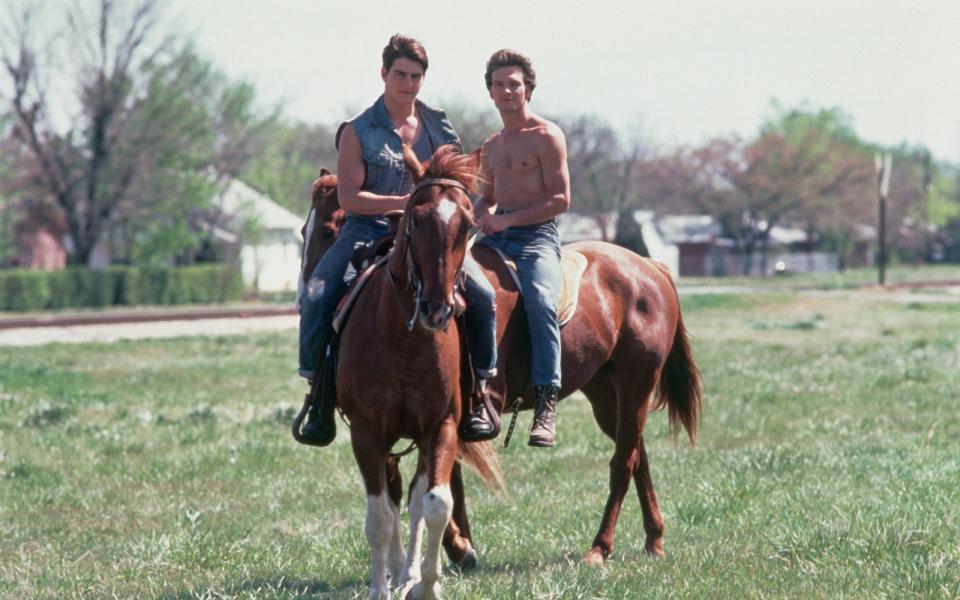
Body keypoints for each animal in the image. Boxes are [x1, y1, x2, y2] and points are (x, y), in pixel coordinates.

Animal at [302, 149, 704, 584]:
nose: (306, 289)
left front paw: (456, 548)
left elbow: (433, 483)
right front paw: (455, 549)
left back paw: (601, 547)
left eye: (327, 229)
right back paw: (654, 539)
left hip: (637, 382)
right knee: (636, 452)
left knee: (623, 460)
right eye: (304, 231)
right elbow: (418, 484)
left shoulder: (457, 413)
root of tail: (648, 267)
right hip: (604, 392)